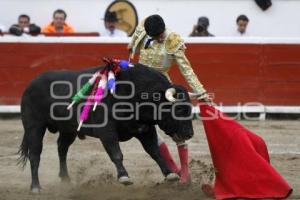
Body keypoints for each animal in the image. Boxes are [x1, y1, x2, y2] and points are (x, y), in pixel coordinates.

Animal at [18, 64, 195, 192]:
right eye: (179, 109)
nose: (189, 134)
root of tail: (30, 85)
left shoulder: (146, 130)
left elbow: (155, 152)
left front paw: (170, 174)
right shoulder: (106, 131)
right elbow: (116, 153)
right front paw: (124, 177)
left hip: (68, 129)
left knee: (62, 148)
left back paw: (66, 179)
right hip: (34, 127)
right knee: (35, 154)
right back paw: (36, 187)